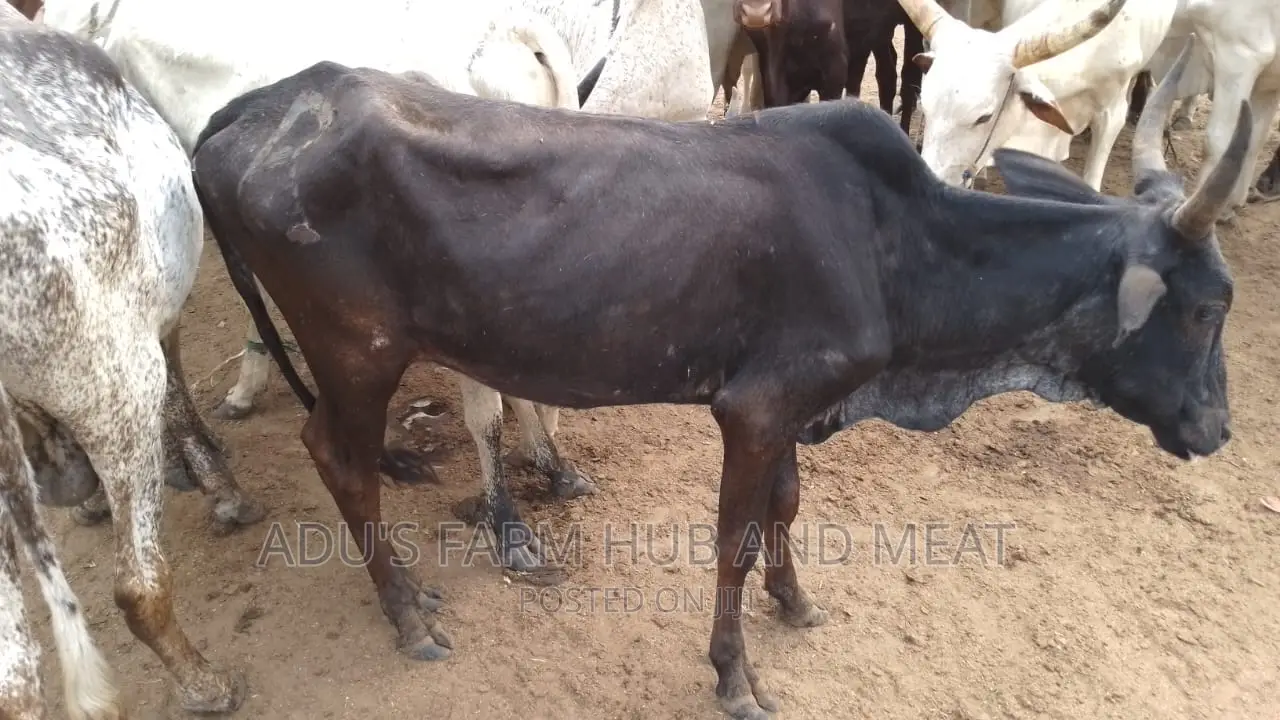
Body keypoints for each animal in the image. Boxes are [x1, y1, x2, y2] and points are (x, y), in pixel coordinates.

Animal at [0, 6, 249, 717]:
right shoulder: (148, 328)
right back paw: (208, 686)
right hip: (116, 394)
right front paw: (215, 482)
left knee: (15, 676)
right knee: (138, 588)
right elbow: (178, 382)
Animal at [190, 33, 1244, 714]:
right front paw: (736, 677)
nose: (1217, 429)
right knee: (337, 457)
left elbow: (784, 509)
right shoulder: (755, 408)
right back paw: (408, 613)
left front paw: (796, 602)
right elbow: (733, 539)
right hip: (355, 352)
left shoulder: (796, 407)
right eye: (1203, 310)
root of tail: (260, 105)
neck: (892, 241)